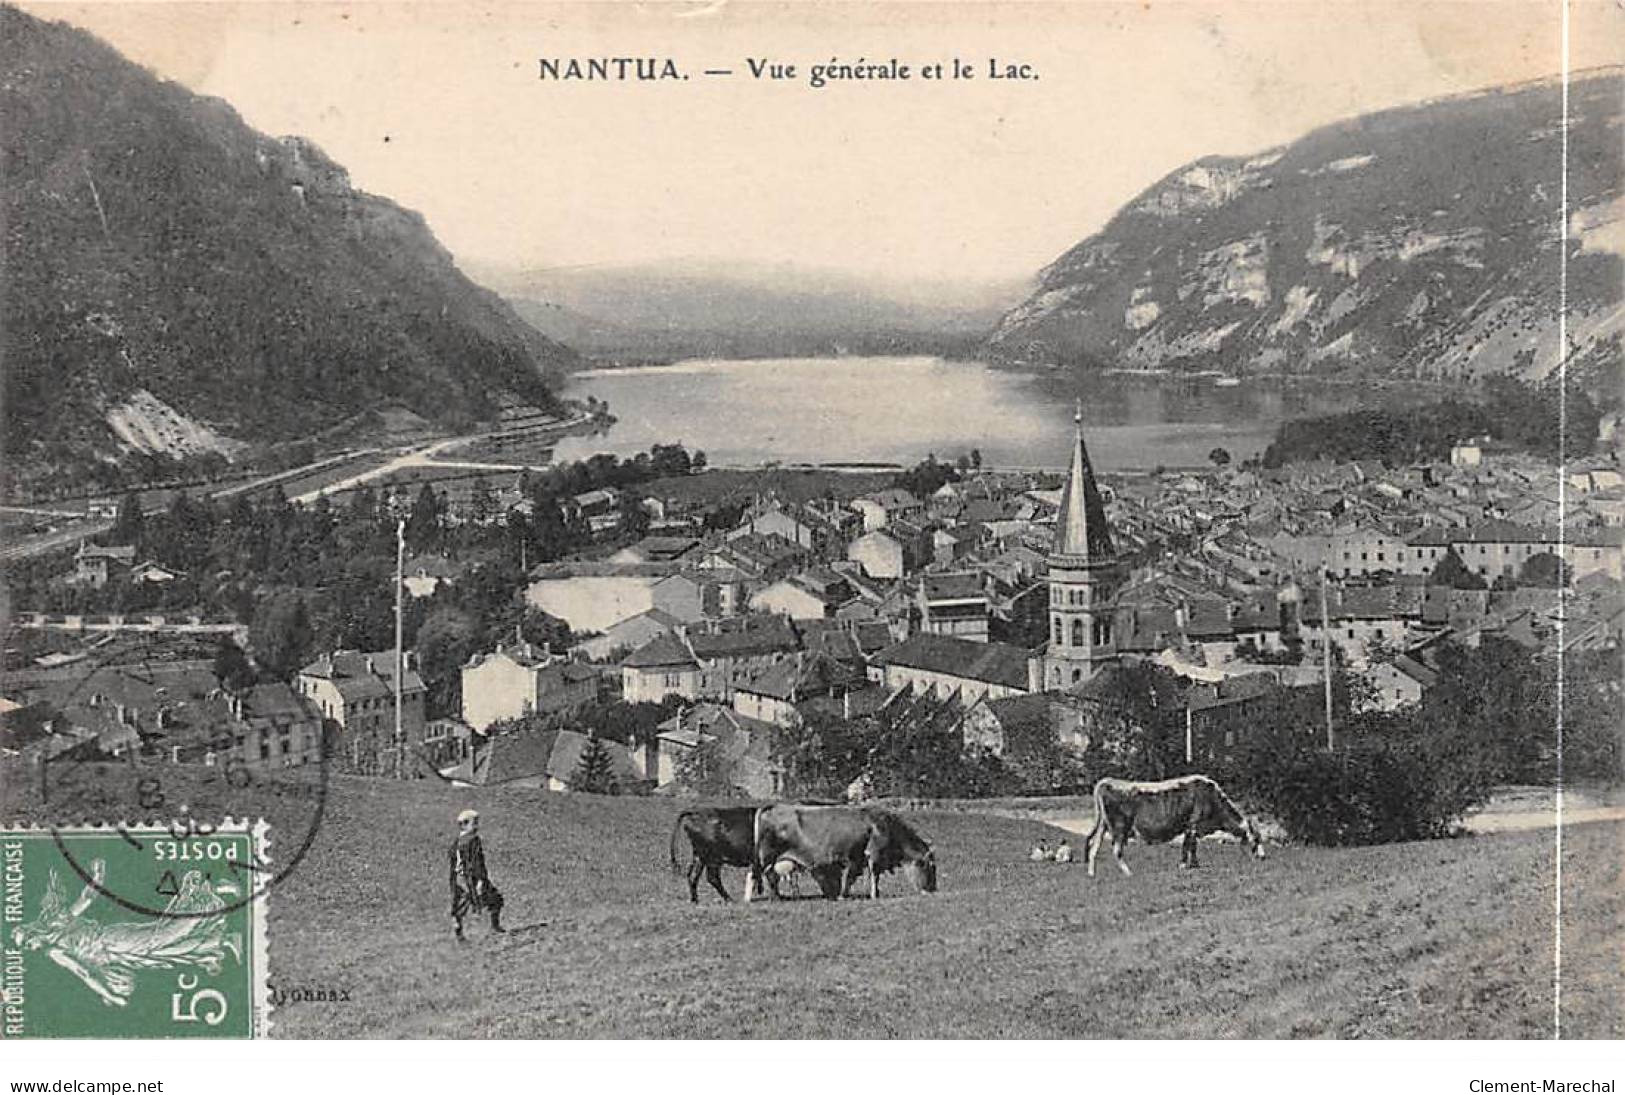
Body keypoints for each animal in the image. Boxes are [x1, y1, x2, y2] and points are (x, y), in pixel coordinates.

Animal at [747, 796, 942, 896]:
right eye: (931, 867)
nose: (933, 889)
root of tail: (771, 806)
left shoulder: (856, 859)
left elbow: (852, 878)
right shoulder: (873, 854)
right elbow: (873, 875)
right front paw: (873, 894)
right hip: (767, 858)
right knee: (767, 876)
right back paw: (775, 897)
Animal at [1079, 773, 1267, 877]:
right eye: (1256, 839)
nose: (1263, 857)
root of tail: (1107, 781)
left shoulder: (1189, 828)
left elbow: (1190, 846)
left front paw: (1194, 866)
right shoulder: (1193, 825)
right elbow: (1189, 846)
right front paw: (1185, 866)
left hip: (1103, 825)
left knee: (1094, 847)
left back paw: (1091, 874)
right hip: (1120, 827)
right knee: (1116, 850)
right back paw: (1129, 873)